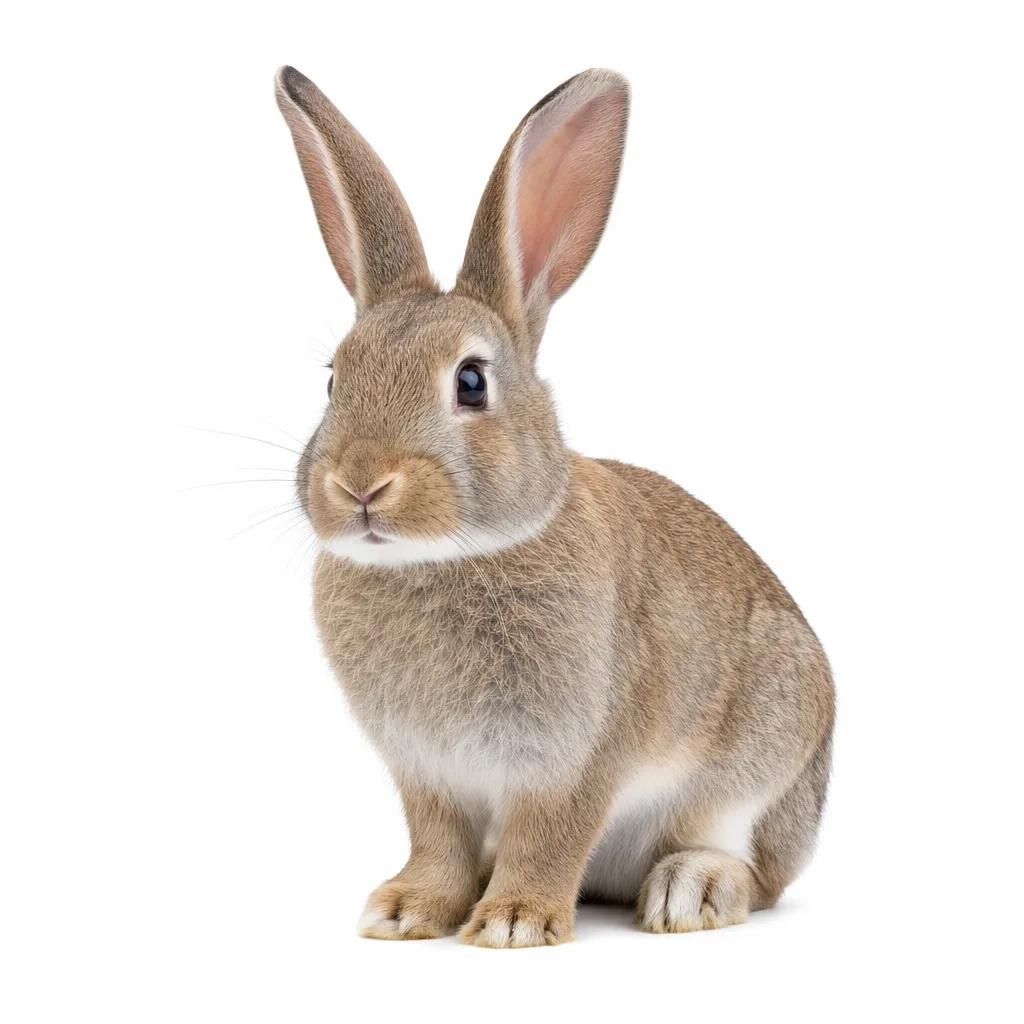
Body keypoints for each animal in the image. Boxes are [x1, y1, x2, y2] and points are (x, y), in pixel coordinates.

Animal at [275, 64, 835, 948]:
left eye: (471, 382)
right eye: (334, 380)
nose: (360, 484)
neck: (450, 557)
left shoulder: (576, 757)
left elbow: (551, 834)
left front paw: (514, 921)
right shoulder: (428, 774)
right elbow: (436, 842)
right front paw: (406, 909)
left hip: (764, 766)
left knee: (755, 867)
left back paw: (692, 889)